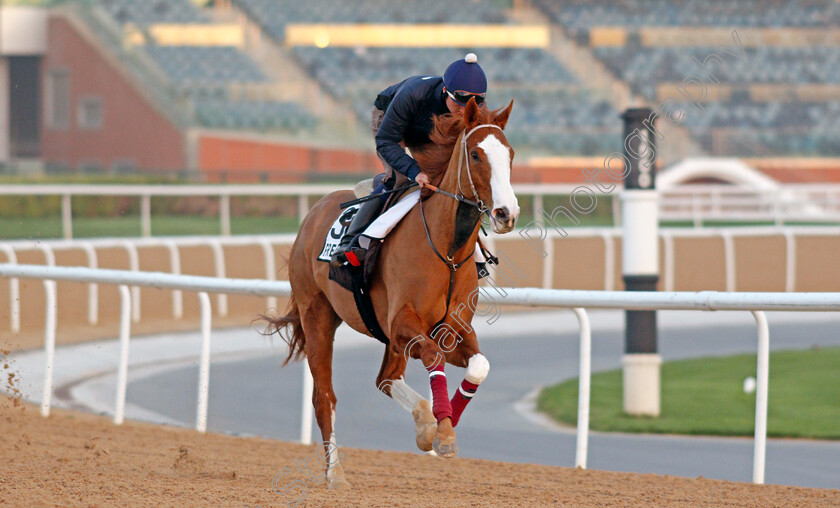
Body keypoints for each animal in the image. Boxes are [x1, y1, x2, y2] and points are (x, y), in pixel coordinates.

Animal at [260, 96, 520, 488]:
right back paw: (335, 474)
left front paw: (439, 426)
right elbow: (434, 358)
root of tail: (313, 213)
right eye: (476, 154)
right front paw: (442, 431)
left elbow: (479, 365)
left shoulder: (451, 329)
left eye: (510, 154)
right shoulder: (403, 323)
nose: (507, 213)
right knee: (324, 396)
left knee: (385, 378)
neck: (446, 251)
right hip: (317, 315)